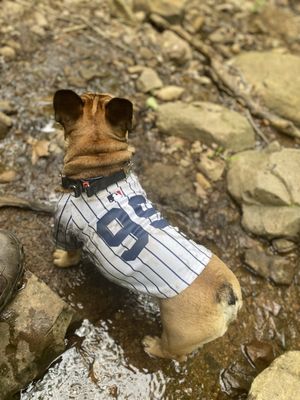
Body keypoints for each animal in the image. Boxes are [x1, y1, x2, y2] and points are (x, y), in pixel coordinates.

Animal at [52, 90, 243, 362]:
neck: (102, 171)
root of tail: (227, 295)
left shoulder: (65, 226)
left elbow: (71, 253)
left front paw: (62, 259)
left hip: (177, 332)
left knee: (173, 353)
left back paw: (152, 346)